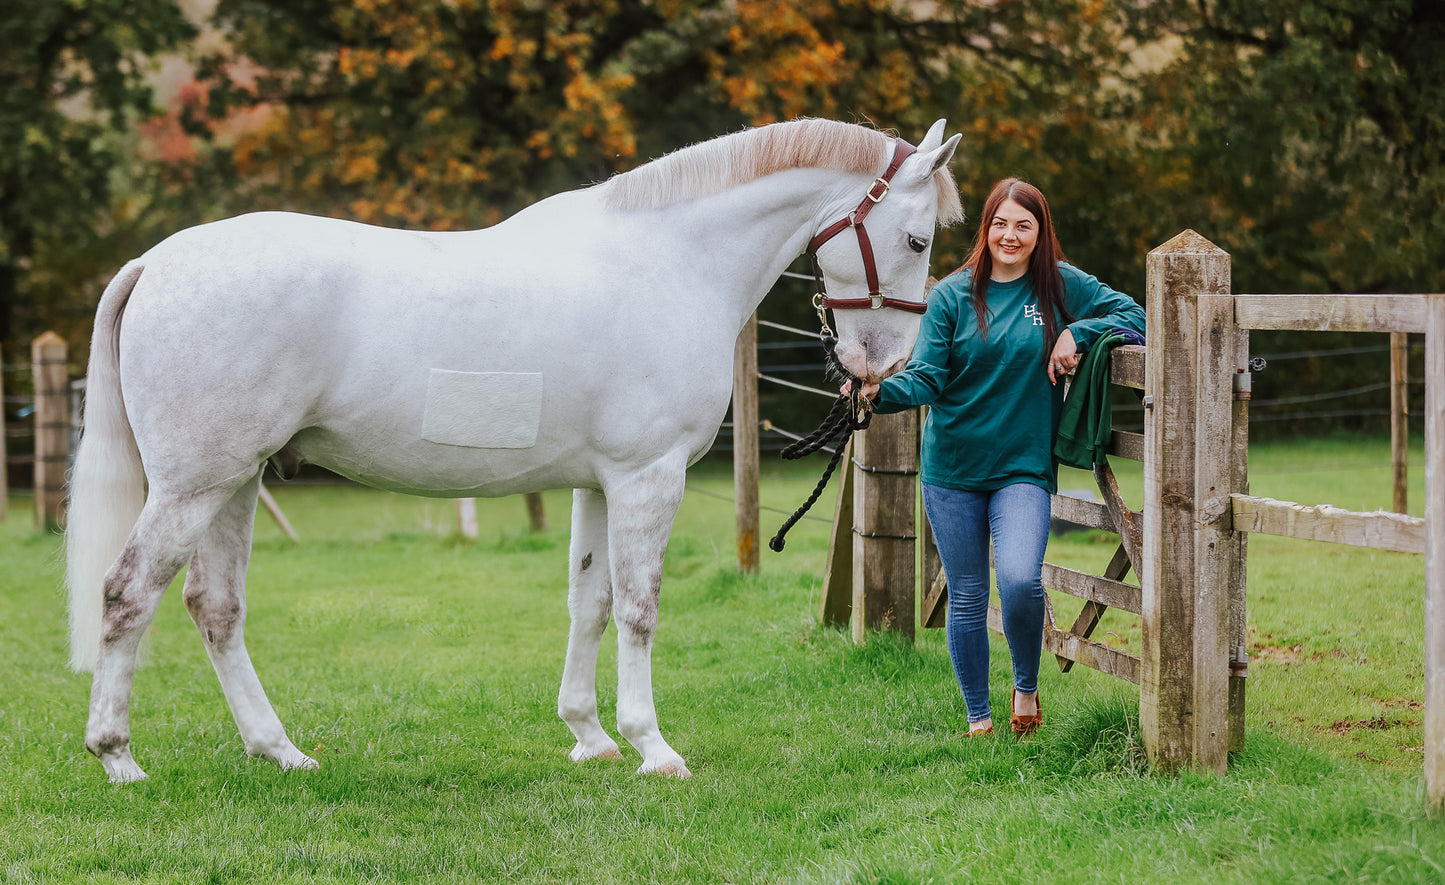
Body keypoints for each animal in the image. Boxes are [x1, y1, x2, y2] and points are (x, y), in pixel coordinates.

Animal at [67, 115, 959, 780]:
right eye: (917, 241)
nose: (881, 368)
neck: (671, 261)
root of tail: (156, 263)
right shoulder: (648, 478)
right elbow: (639, 607)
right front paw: (653, 746)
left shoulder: (598, 483)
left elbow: (588, 600)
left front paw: (590, 735)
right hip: (192, 485)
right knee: (127, 594)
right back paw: (118, 756)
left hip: (237, 482)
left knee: (213, 607)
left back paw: (279, 749)